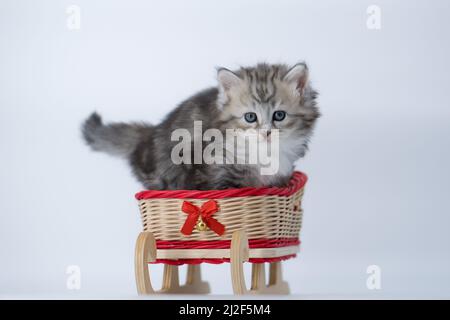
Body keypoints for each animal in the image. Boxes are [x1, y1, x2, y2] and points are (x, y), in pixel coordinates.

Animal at [81, 62, 320, 190]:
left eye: (279, 115)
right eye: (250, 117)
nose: (266, 133)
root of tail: (149, 134)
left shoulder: (280, 177)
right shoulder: (214, 172)